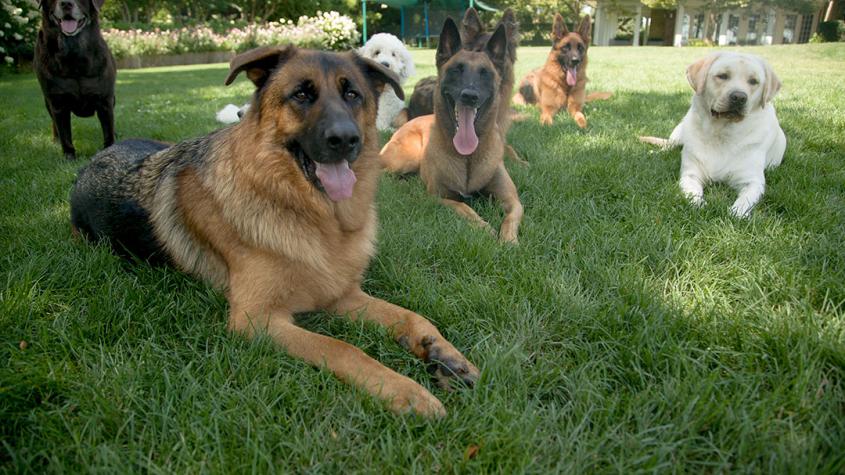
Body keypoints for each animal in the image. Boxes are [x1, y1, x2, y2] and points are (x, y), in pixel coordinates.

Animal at [34, 0, 115, 160]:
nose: (66, 3)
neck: (73, 53)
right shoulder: (58, 104)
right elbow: (65, 134)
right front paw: (69, 156)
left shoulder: (105, 100)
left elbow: (108, 130)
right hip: (48, 103)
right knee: (55, 125)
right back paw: (55, 140)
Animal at [69, 45, 478, 416]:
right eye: (301, 94)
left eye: (352, 95)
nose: (346, 140)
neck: (314, 218)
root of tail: (93, 160)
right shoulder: (257, 319)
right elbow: (341, 348)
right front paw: (403, 390)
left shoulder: (341, 294)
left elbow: (412, 316)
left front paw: (441, 352)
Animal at [380, 17, 520, 245]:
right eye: (456, 69)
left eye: (485, 73)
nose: (470, 96)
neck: (468, 158)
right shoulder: (440, 198)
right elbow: (464, 207)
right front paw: (483, 228)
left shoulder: (512, 200)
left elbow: (511, 218)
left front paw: (509, 241)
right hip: (406, 159)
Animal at [640, 52, 784, 218]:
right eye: (722, 76)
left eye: (754, 81)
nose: (739, 97)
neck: (721, 133)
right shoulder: (690, 174)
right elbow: (693, 194)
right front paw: (699, 205)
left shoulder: (753, 181)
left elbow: (745, 200)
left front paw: (737, 213)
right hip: (678, 134)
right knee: (668, 145)